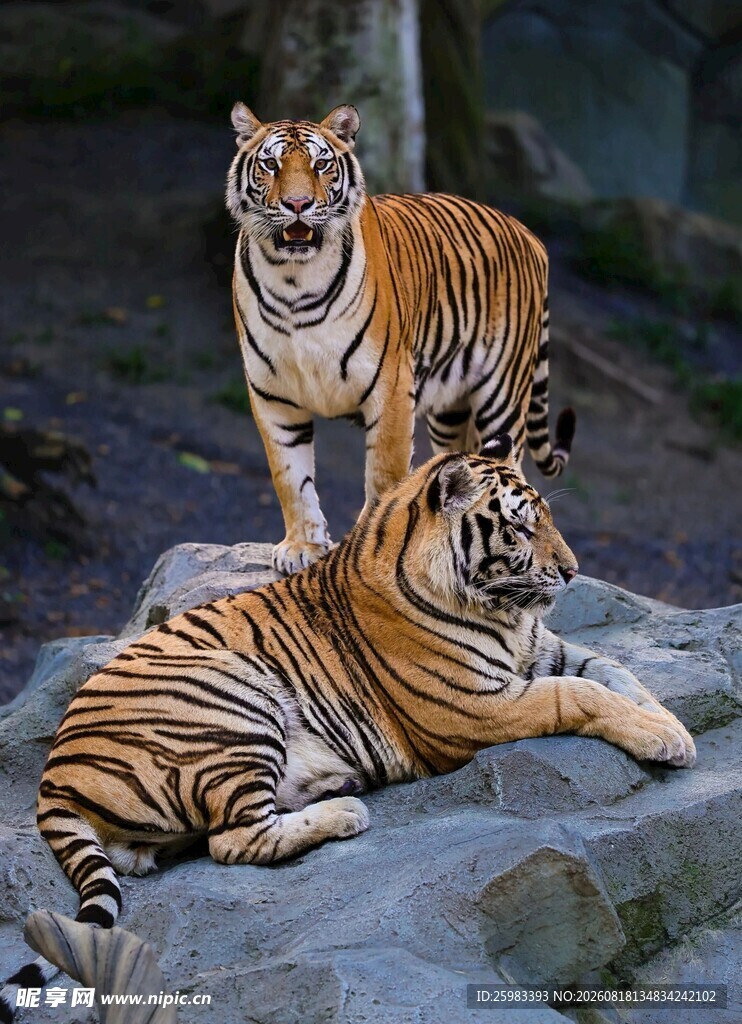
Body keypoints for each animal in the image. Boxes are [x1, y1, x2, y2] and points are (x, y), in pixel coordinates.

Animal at [0, 435, 694, 1022]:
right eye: (524, 525)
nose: (573, 571)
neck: (503, 616)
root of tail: (51, 776)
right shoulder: (474, 706)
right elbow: (581, 693)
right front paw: (665, 740)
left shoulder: (543, 651)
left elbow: (619, 673)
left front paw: (674, 729)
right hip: (234, 692)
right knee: (233, 840)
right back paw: (346, 812)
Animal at [226, 103, 576, 575]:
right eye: (271, 165)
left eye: (320, 165)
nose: (297, 204)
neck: (294, 280)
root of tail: (530, 236)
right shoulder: (273, 395)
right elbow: (290, 479)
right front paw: (302, 547)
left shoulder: (390, 389)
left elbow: (384, 479)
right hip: (449, 409)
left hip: (502, 396)